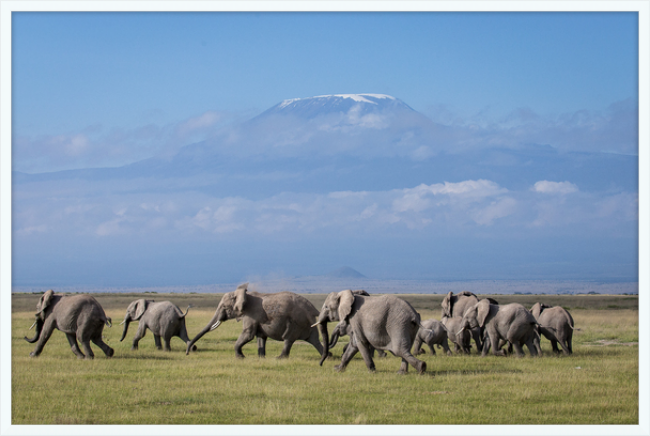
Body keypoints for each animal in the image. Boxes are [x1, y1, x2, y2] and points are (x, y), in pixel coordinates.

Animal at [184, 282, 322, 358]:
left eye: (224, 307)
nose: (188, 352)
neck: (245, 295)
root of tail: (312, 308)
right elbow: (260, 337)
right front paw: (261, 358)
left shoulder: (251, 315)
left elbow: (248, 334)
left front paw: (240, 357)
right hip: (306, 322)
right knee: (314, 340)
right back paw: (326, 357)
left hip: (297, 322)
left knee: (288, 339)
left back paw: (279, 358)